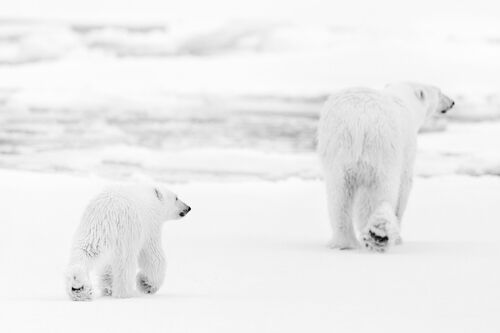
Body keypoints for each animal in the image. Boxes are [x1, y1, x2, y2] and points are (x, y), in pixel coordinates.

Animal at [318, 82, 456, 252]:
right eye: (439, 92)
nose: (452, 102)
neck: (404, 100)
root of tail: (358, 120)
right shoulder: (407, 146)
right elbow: (404, 185)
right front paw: (398, 238)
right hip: (382, 149)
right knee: (382, 191)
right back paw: (378, 234)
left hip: (337, 147)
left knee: (338, 194)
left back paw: (344, 243)